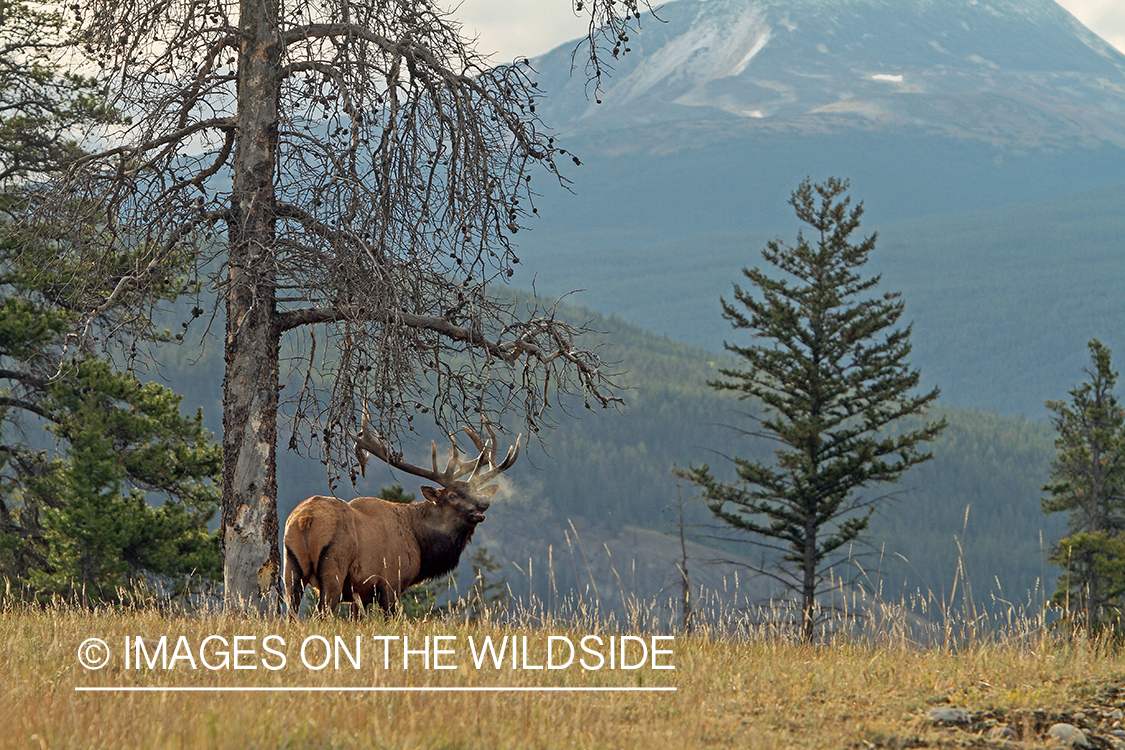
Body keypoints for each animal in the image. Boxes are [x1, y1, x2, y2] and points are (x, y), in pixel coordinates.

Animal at [285, 413, 522, 620]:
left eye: (474, 491)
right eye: (453, 495)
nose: (483, 503)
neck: (419, 542)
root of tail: (306, 519)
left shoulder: (360, 592)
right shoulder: (391, 581)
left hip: (291, 566)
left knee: (291, 613)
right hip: (334, 566)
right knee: (321, 614)